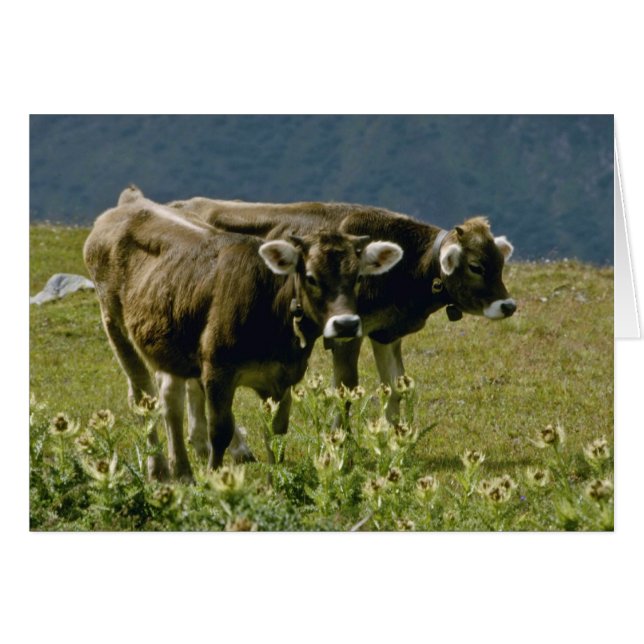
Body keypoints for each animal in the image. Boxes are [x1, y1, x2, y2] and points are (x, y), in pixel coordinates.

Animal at [83, 192, 403, 481]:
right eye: (311, 277)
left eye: (359, 277)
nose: (346, 325)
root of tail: (132, 202)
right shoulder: (217, 371)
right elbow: (220, 431)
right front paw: (214, 478)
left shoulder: (283, 377)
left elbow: (276, 433)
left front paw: (277, 484)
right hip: (114, 324)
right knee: (142, 397)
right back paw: (159, 469)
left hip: (167, 342)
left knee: (169, 398)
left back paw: (183, 471)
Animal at [164, 194, 516, 424]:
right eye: (475, 266)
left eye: (500, 264)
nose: (508, 305)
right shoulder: (348, 333)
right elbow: (346, 390)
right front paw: (341, 446)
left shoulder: (386, 331)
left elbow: (396, 387)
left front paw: (395, 439)